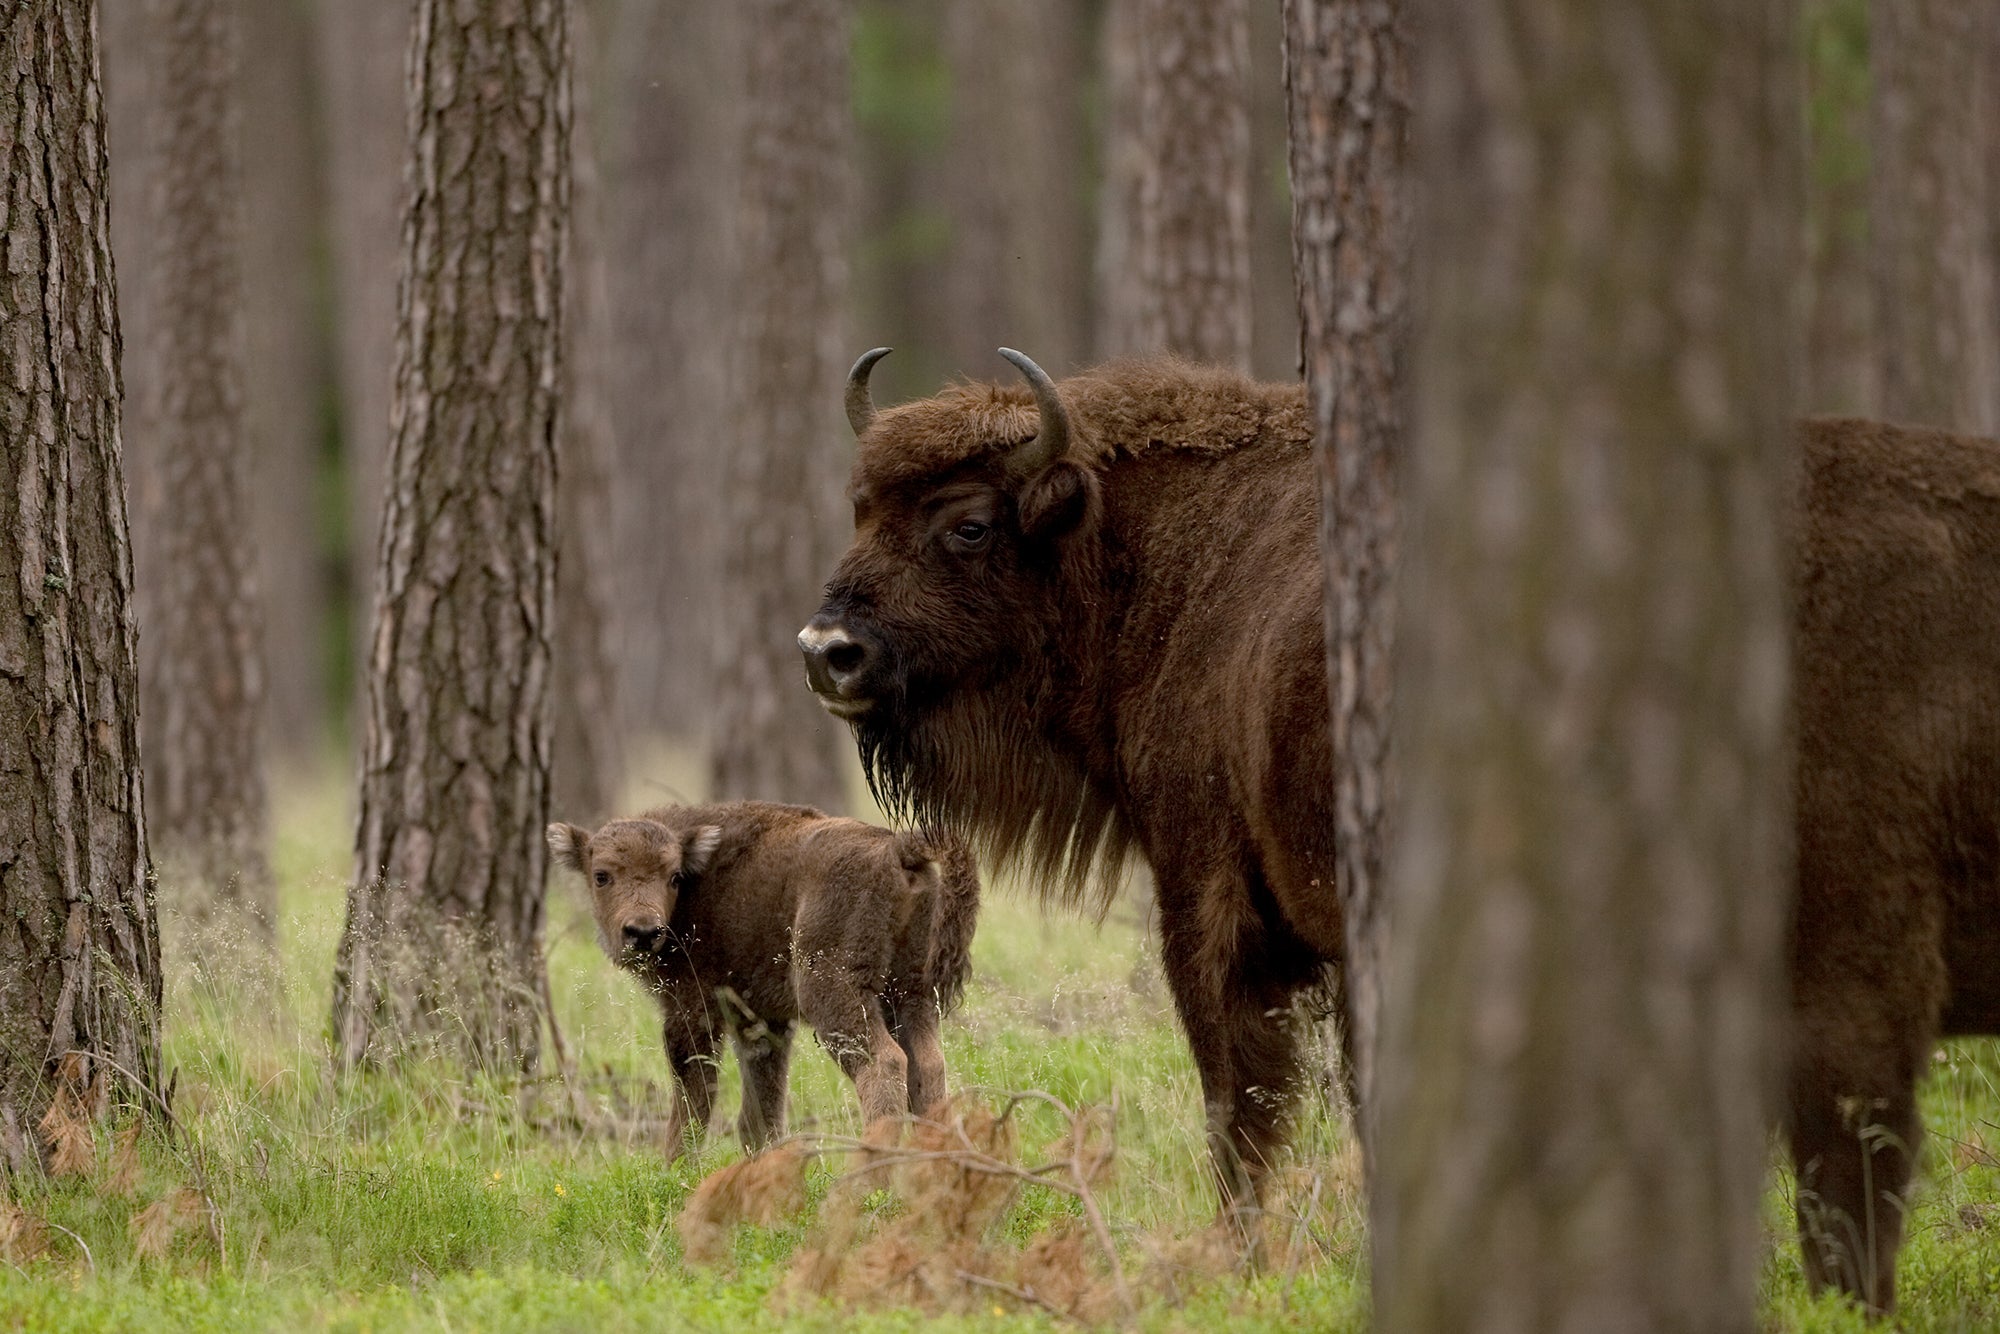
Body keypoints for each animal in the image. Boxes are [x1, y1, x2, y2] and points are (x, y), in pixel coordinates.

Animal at [548, 804, 984, 1160]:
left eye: (673, 877)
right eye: (601, 876)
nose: (642, 932)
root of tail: (898, 847)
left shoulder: (692, 1010)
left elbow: (694, 1098)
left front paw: (676, 1170)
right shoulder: (762, 1020)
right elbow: (762, 1106)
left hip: (832, 993)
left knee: (884, 1064)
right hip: (911, 994)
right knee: (928, 1065)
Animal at [796, 348, 2000, 1312]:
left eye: (965, 523)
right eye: (856, 509)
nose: (827, 651)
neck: (1148, 552)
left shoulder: (1212, 901)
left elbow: (1240, 1098)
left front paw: (1241, 1260)